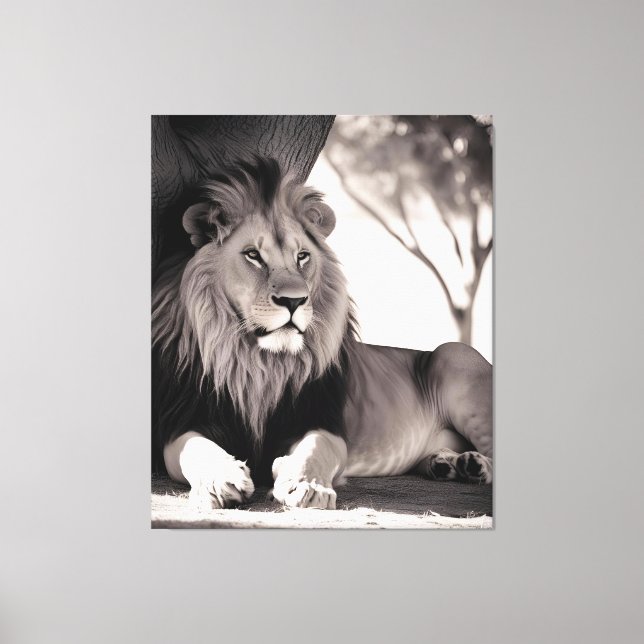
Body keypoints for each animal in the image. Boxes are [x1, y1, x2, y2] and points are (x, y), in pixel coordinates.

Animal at [152, 157, 492, 510]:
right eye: (253, 255)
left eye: (302, 256)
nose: (294, 300)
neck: (260, 363)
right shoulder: (181, 423)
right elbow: (197, 449)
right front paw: (222, 481)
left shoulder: (321, 419)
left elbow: (315, 448)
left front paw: (307, 486)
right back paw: (449, 463)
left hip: (454, 353)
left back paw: (475, 464)